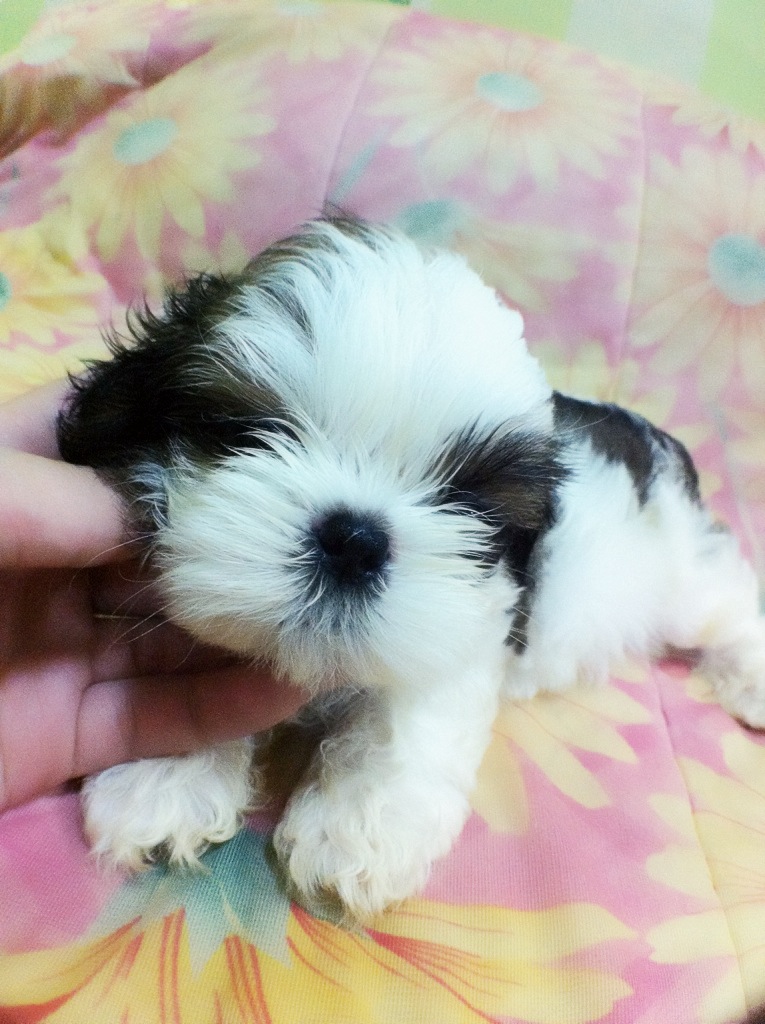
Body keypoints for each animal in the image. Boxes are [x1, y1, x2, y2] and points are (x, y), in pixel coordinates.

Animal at [58, 216, 765, 922]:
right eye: (248, 434)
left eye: (463, 501)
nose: (354, 540)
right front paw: (164, 774)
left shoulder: (468, 625)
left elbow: (405, 715)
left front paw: (358, 831)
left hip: (677, 572)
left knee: (725, 602)